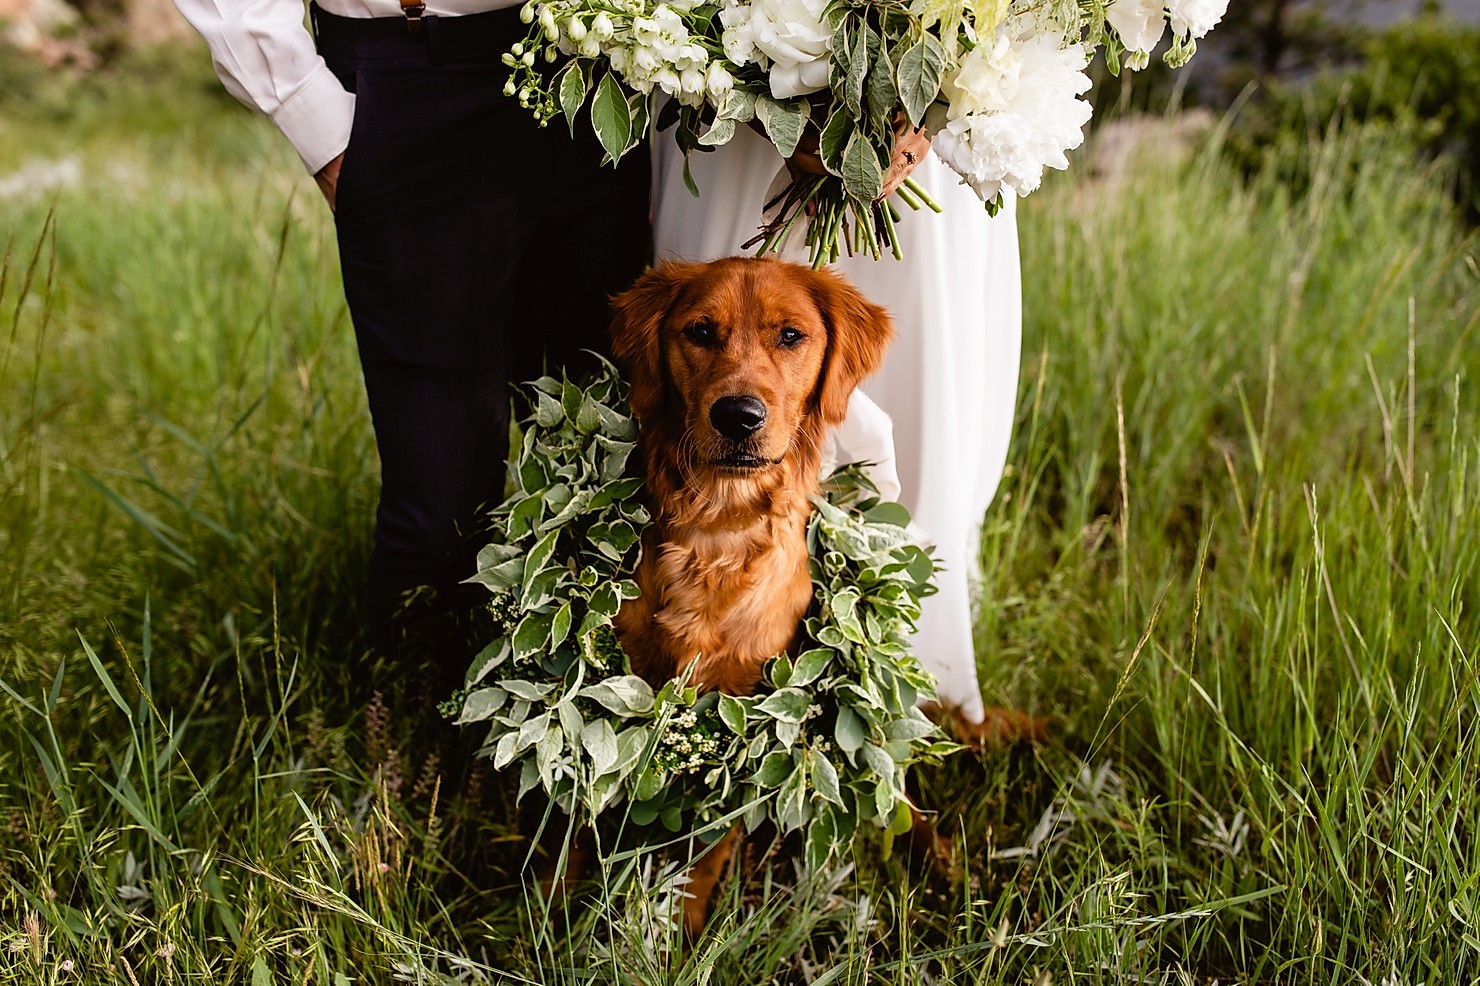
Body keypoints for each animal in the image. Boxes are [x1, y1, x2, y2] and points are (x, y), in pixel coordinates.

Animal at [606, 253, 893, 929]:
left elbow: (705, 853)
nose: (738, 416)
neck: (720, 528)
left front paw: (683, 935)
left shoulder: (745, 726)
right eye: (700, 332)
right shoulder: (622, 687)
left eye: (790, 335)